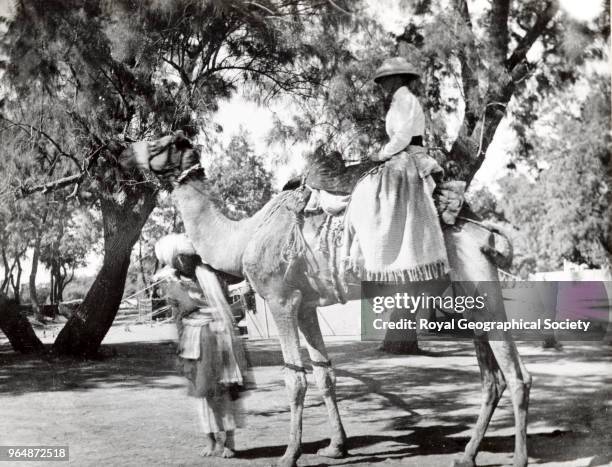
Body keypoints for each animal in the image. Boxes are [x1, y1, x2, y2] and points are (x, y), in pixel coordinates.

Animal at [119, 132, 532, 467]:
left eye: (157, 143)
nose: (123, 151)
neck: (243, 237)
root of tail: (481, 230)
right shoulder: (306, 307)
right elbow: (324, 373)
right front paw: (336, 446)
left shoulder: (280, 300)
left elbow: (295, 379)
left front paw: (290, 454)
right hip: (465, 298)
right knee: (491, 378)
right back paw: (467, 454)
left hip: (479, 283)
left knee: (516, 374)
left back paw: (518, 458)